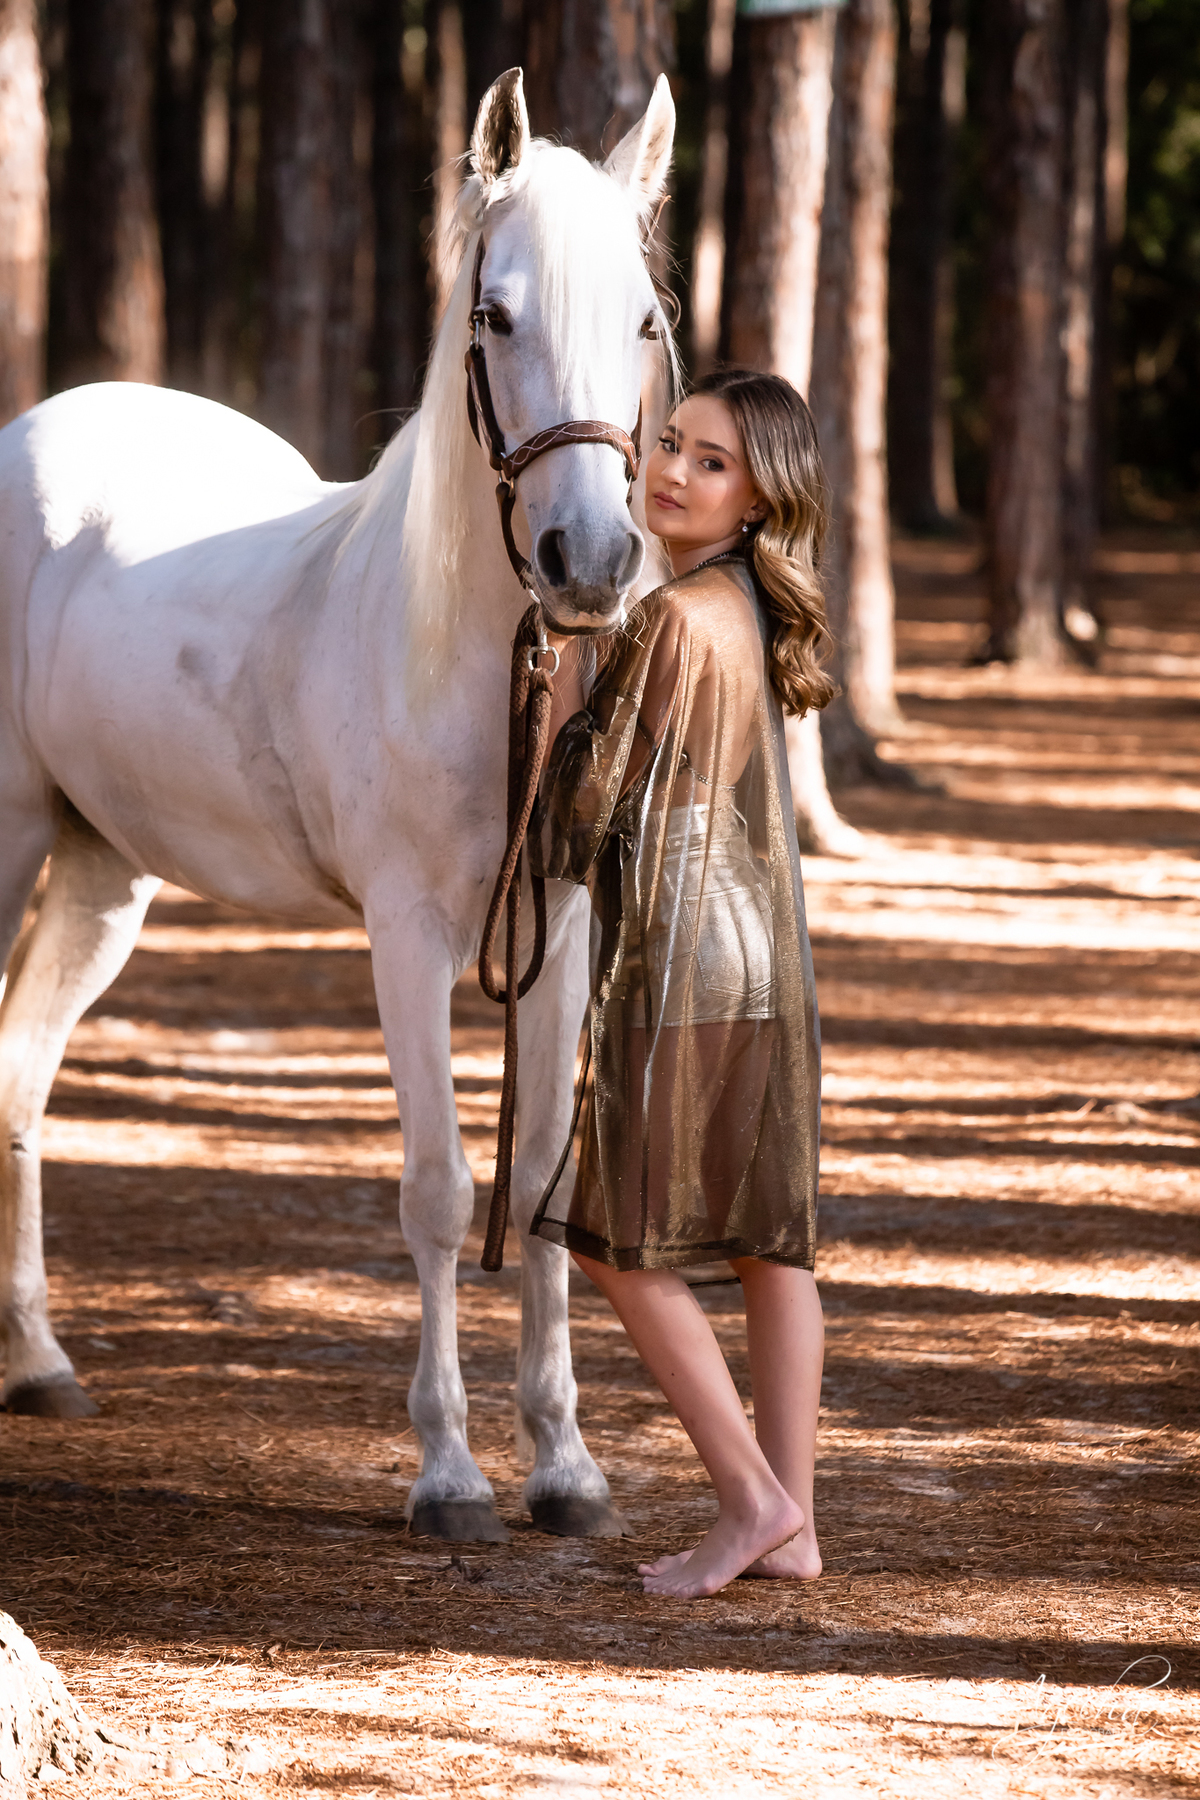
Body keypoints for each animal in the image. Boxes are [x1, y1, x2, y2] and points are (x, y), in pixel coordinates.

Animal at [0, 69, 676, 1544]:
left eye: (647, 322)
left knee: (19, 1069)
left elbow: (543, 1177)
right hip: (8, 839)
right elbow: (439, 1189)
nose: (589, 563)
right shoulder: (408, 935)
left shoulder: (560, 927)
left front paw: (568, 1470)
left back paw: (38, 1364)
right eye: (496, 313)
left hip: (102, 876)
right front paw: (449, 1476)